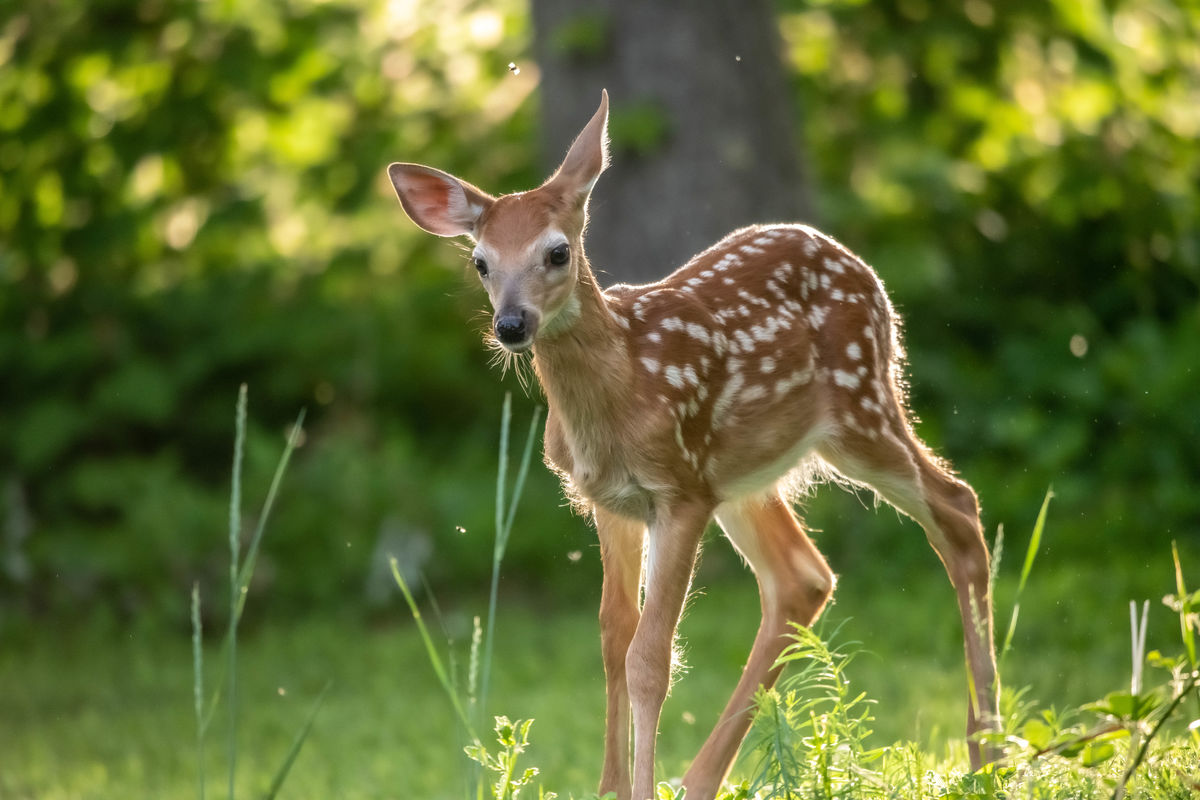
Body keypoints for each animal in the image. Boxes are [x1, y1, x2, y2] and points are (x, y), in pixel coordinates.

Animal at [388, 90, 998, 800]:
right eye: (480, 262)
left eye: (558, 252)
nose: (512, 325)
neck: (624, 388)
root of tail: (866, 274)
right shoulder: (610, 501)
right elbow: (612, 638)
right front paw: (611, 789)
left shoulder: (678, 491)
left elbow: (649, 658)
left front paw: (639, 788)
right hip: (745, 473)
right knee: (803, 576)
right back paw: (702, 779)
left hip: (859, 409)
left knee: (956, 506)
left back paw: (988, 753)